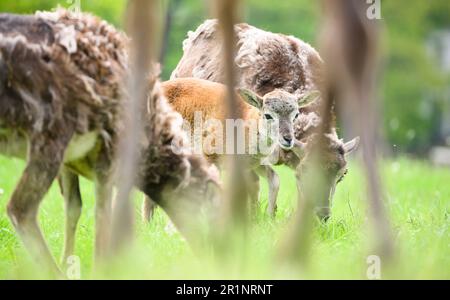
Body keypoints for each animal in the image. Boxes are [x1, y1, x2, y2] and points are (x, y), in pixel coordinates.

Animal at [0, 9, 220, 276]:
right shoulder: (108, 157)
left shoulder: (73, 162)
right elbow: (106, 214)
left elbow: (74, 207)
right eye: (209, 209)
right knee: (20, 208)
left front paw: (70, 260)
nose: (213, 256)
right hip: (50, 133)